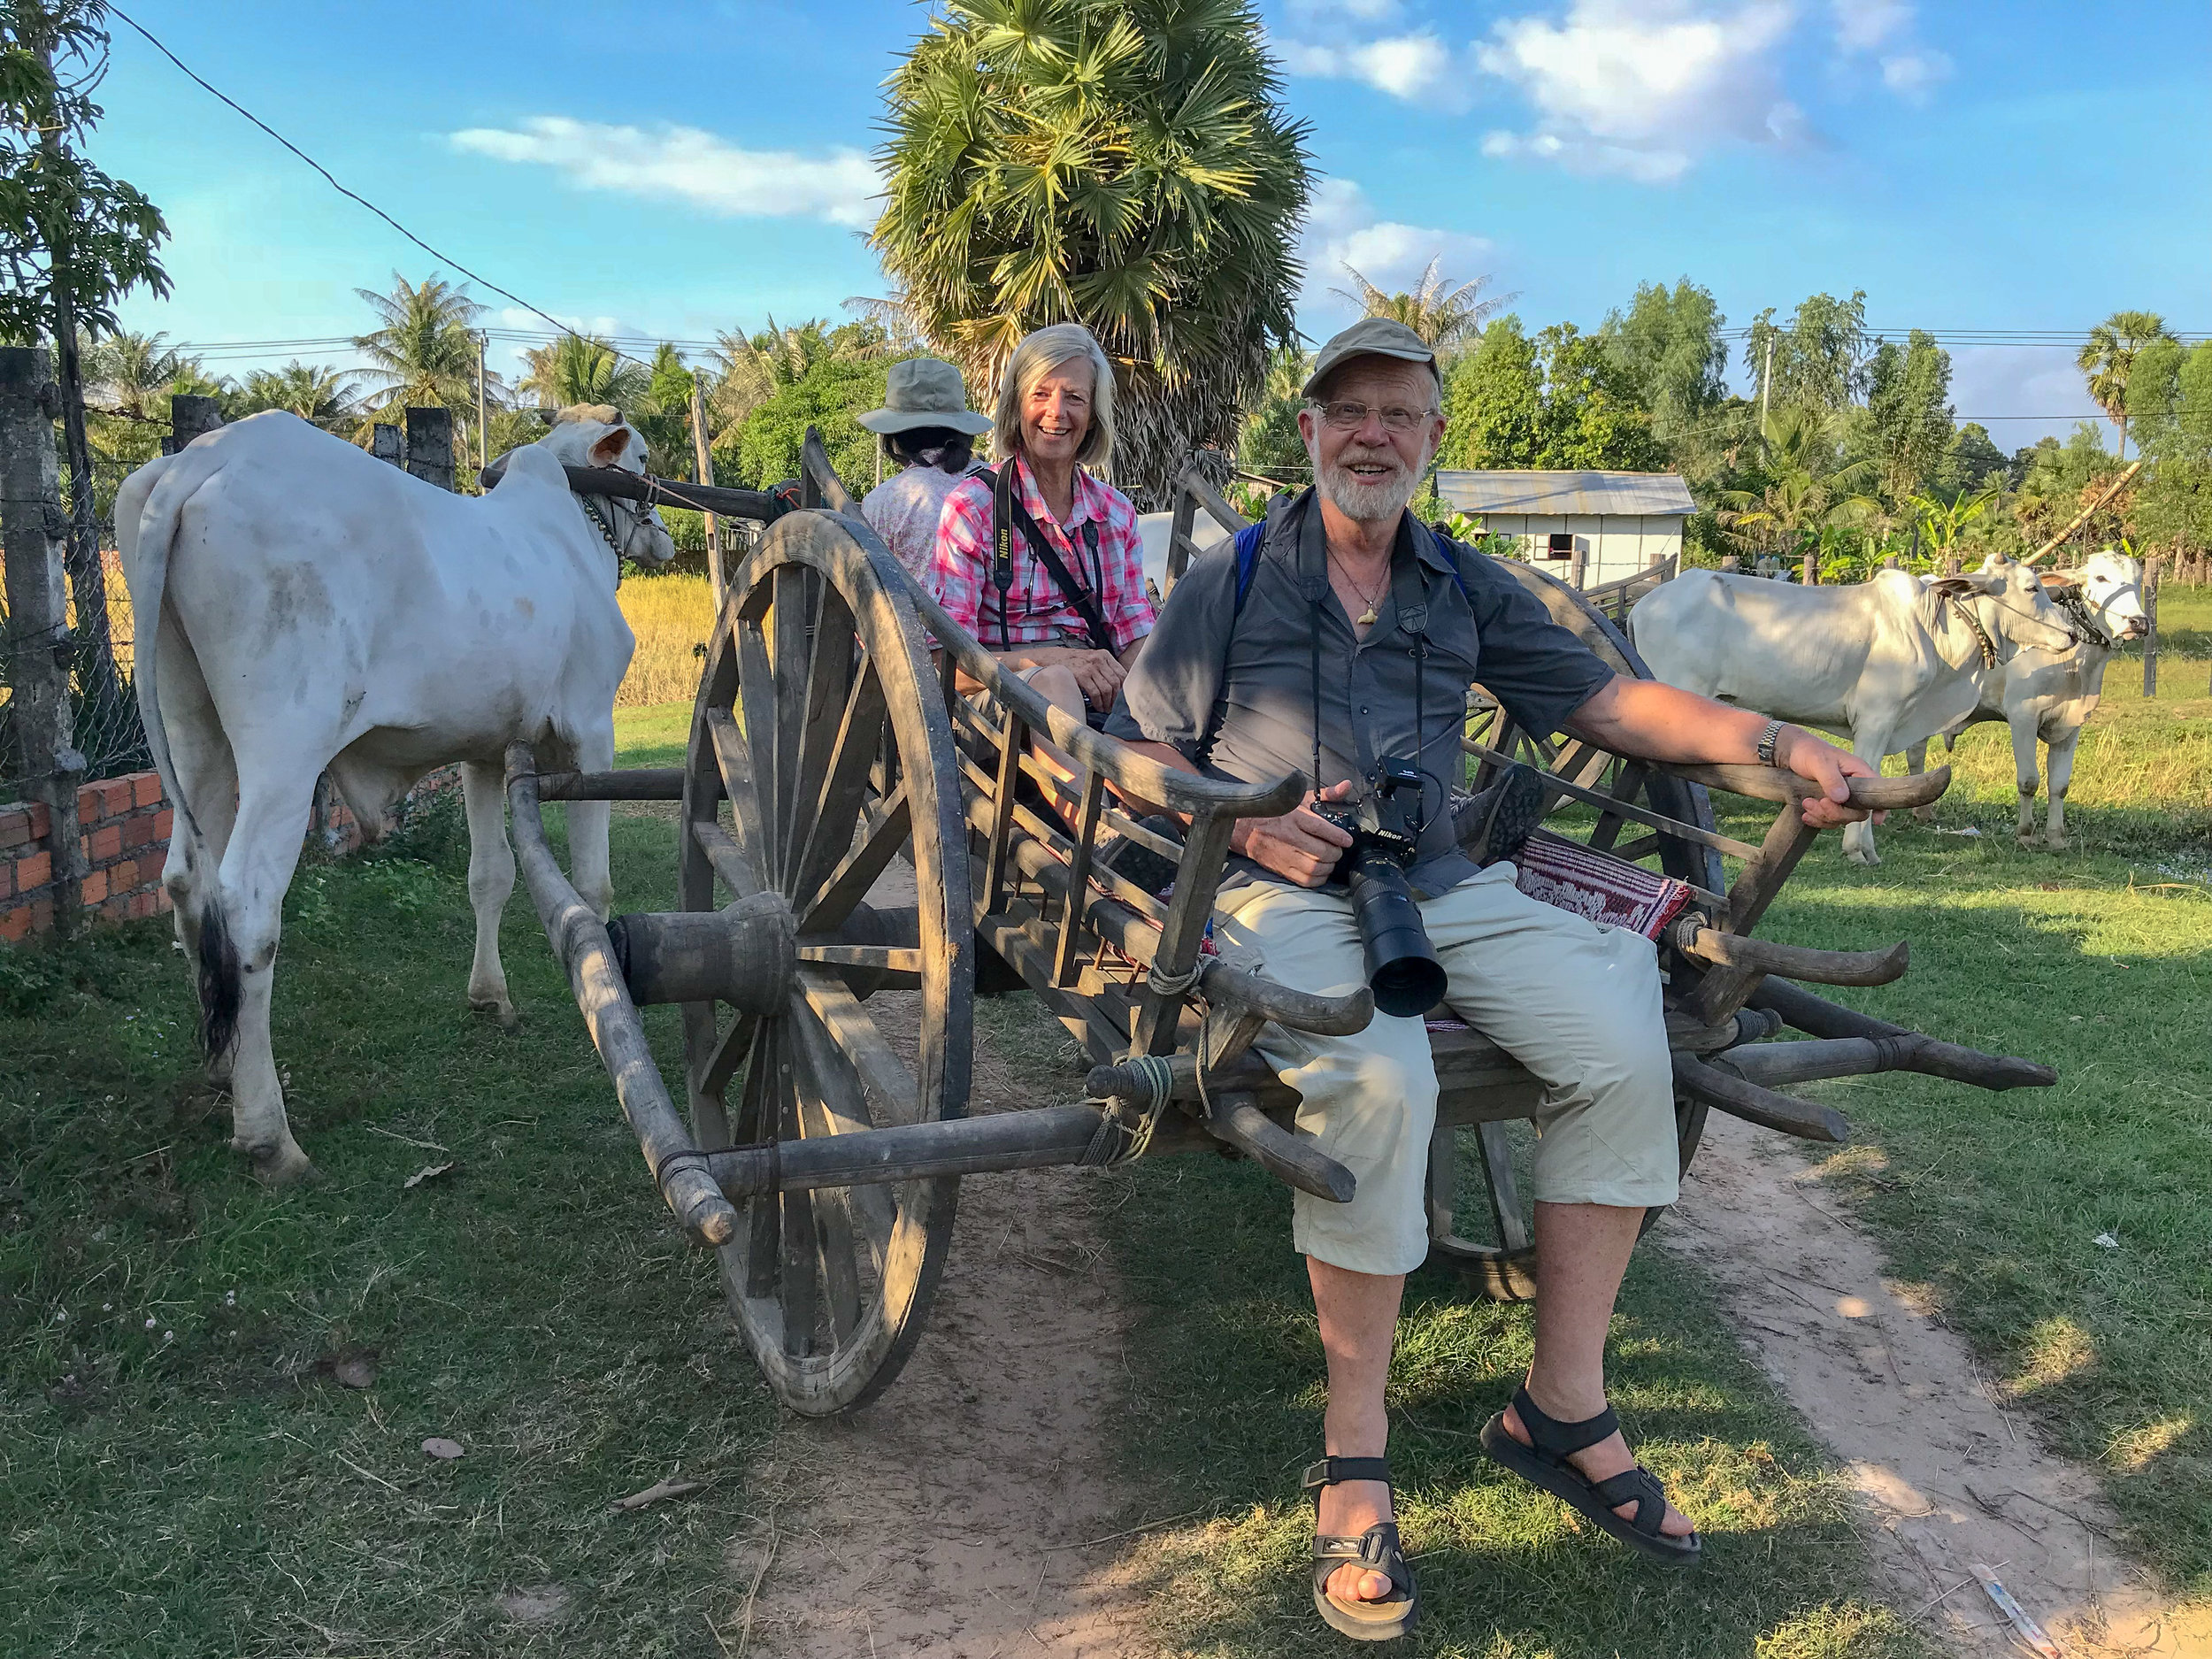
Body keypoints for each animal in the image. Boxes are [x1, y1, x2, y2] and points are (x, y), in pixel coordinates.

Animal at [119, 407, 672, 1186]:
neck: (572, 533)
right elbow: (593, 886)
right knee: (248, 907)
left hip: (195, 729)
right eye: (642, 458)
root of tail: (199, 459)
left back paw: (225, 1068)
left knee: (185, 884)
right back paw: (268, 1134)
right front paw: (604, 994)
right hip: (284, 748)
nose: (665, 533)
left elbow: (489, 877)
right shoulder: (593, 732)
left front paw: (490, 996)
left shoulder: (485, 751)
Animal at [1637, 562, 2079, 863]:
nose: (2072, 634)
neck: (1933, 630)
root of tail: (1646, 603)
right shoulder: (1877, 717)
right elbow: (1866, 781)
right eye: (2032, 587)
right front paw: (1858, 850)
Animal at [1911, 553, 2150, 849]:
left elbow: (2059, 785)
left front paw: (2056, 836)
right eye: (2101, 578)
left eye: (2138, 580)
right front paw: (2026, 833)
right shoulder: (2023, 717)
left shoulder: (2071, 727)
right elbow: (2029, 781)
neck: (2074, 664)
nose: (2138, 623)